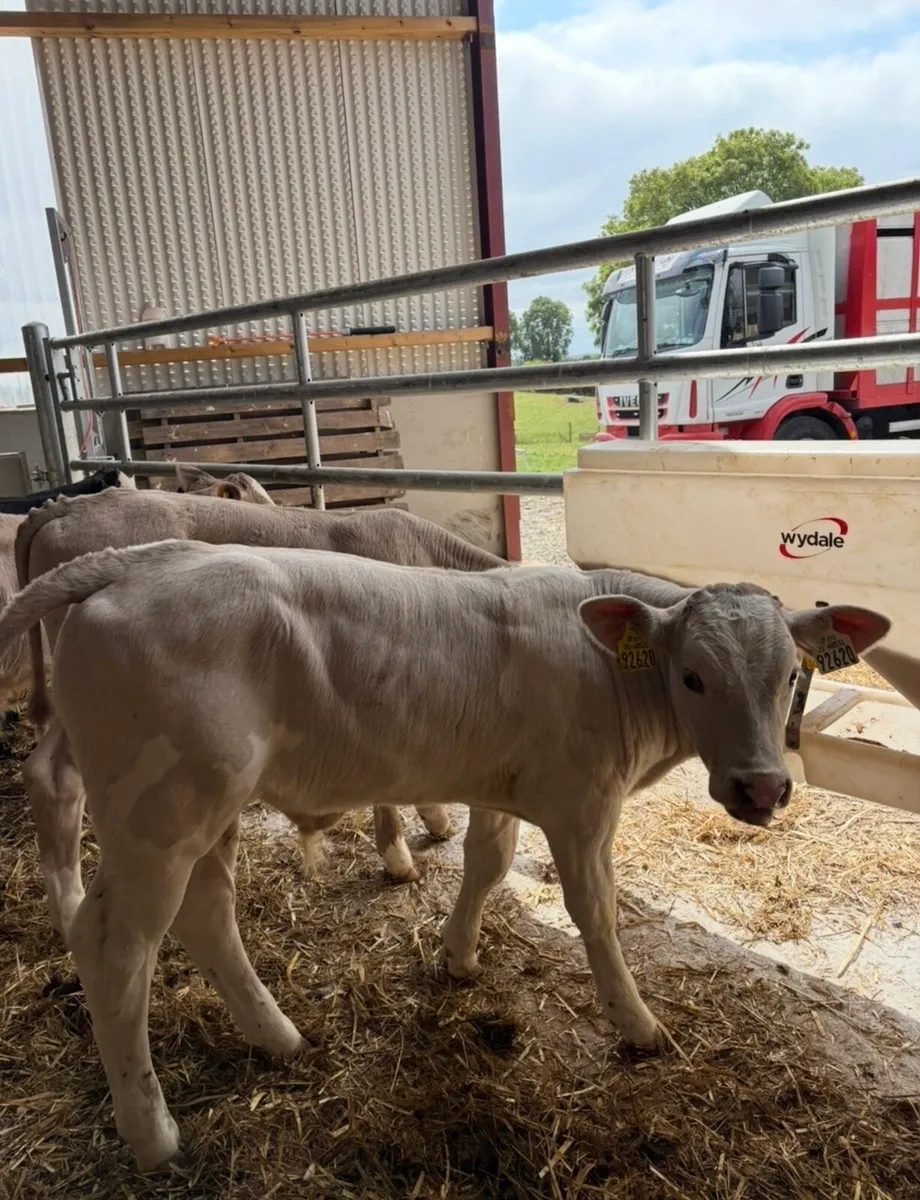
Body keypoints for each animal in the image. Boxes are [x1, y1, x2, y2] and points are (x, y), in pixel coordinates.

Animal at [0, 538, 890, 1171]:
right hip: (159, 814)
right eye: (694, 677)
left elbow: (487, 864)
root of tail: (141, 558)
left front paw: (458, 957)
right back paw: (153, 1133)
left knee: (208, 915)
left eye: (789, 675)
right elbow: (594, 910)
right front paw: (636, 1024)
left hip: (202, 812)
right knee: (116, 950)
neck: (608, 668)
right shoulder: (582, 803)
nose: (761, 788)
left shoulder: (505, 788)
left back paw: (279, 1037)